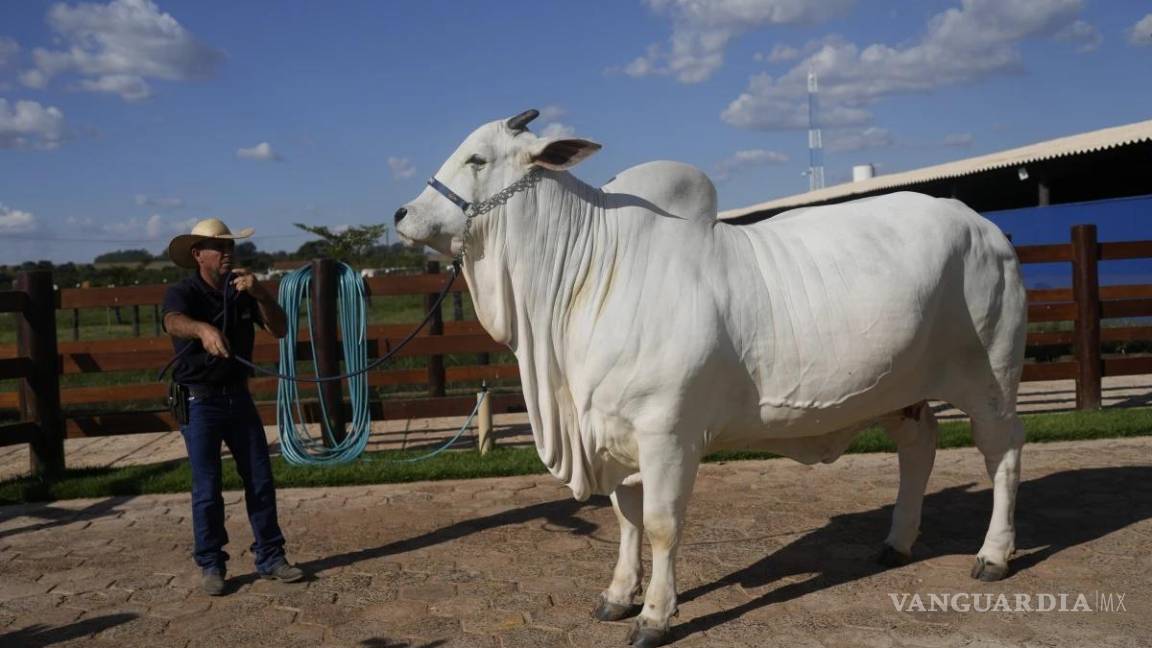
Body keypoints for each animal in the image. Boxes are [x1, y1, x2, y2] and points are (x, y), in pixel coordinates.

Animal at [394, 110, 1027, 647]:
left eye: (477, 158)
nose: (401, 215)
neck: (588, 275)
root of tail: (986, 228)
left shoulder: (667, 434)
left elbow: (660, 525)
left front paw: (654, 615)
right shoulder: (616, 433)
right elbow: (625, 519)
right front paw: (618, 595)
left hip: (990, 380)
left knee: (1002, 455)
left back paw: (994, 555)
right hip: (905, 391)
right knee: (919, 448)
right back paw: (897, 542)